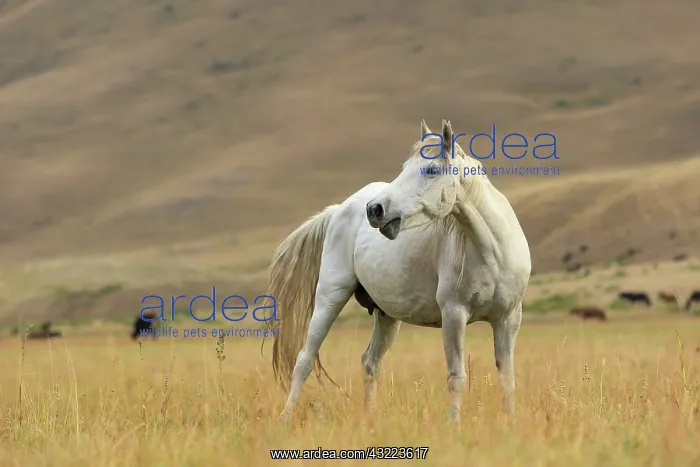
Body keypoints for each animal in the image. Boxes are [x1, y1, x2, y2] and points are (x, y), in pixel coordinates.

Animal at [265, 119, 531, 424]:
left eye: (432, 170)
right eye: (404, 167)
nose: (375, 209)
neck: (492, 251)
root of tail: (339, 209)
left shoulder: (508, 320)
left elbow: (507, 378)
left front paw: (509, 422)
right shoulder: (454, 315)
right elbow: (457, 377)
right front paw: (454, 424)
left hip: (386, 316)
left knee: (370, 362)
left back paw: (369, 419)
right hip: (330, 297)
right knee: (304, 359)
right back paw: (286, 417)